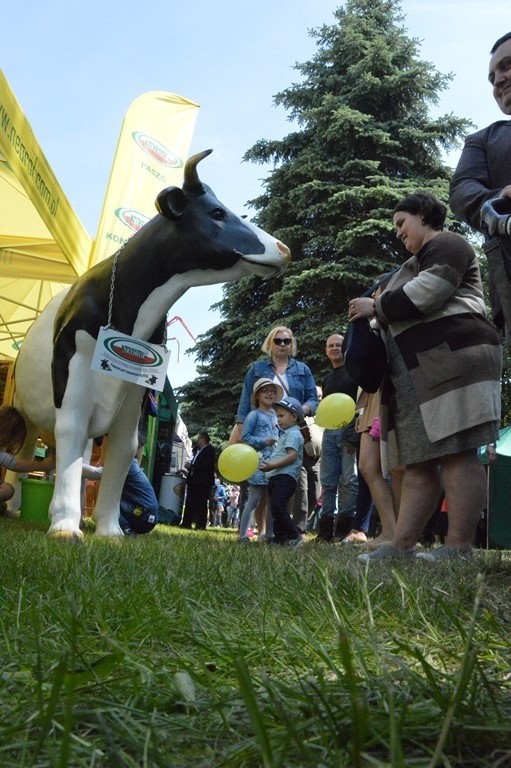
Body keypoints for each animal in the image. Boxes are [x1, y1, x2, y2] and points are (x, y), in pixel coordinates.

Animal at [10, 150, 292, 540]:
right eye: (217, 212)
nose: (284, 248)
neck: (131, 312)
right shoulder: (73, 375)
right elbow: (71, 431)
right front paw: (65, 526)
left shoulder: (135, 392)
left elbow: (124, 450)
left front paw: (109, 529)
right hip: (21, 409)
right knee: (25, 451)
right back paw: (14, 508)